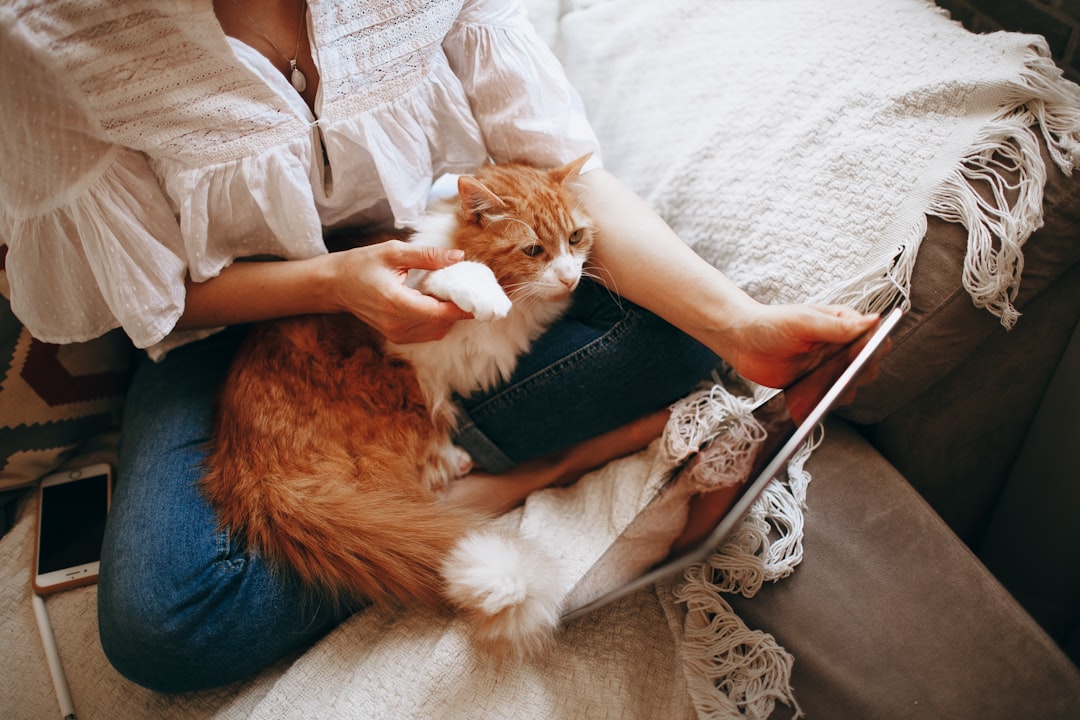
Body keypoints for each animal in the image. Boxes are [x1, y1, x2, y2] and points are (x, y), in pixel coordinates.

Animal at [198, 155, 596, 656]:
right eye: (532, 250)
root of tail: (255, 470)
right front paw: (487, 296)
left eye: (575, 238)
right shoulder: (414, 307)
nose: (569, 277)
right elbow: (461, 272)